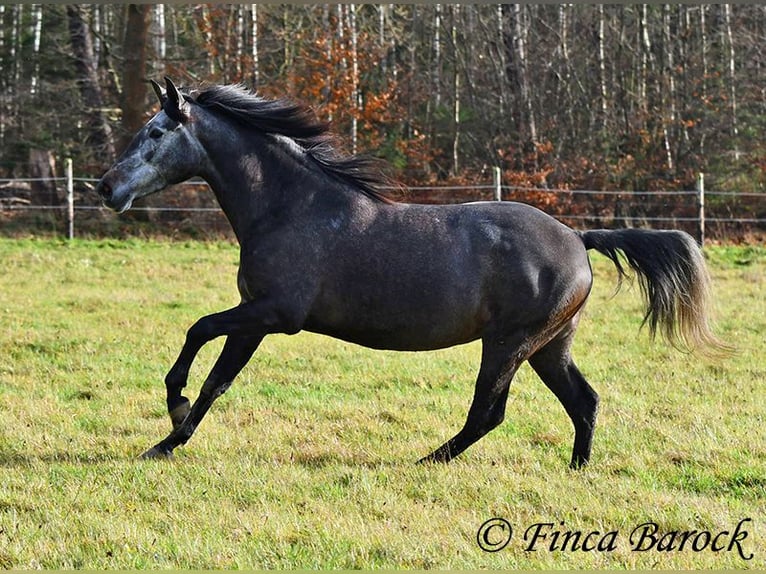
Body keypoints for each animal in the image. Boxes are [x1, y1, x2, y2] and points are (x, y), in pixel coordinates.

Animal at [96, 77, 728, 468]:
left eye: (156, 132)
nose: (105, 188)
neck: (290, 207)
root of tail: (577, 238)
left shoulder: (274, 313)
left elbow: (198, 331)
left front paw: (172, 412)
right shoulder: (255, 320)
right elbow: (217, 380)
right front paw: (168, 441)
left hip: (509, 343)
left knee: (490, 411)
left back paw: (426, 460)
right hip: (550, 345)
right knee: (584, 401)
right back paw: (576, 470)